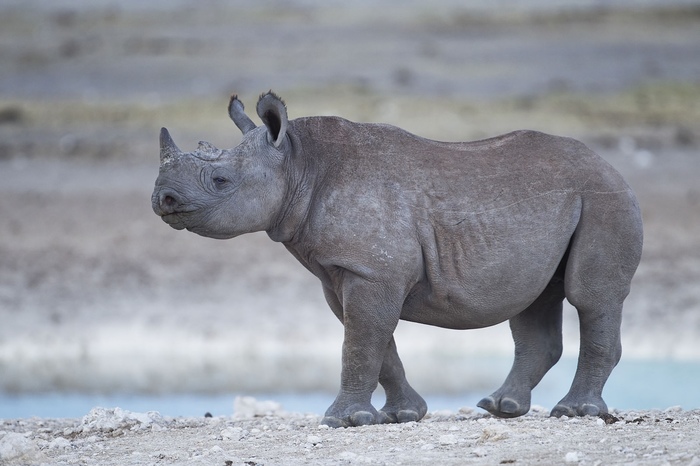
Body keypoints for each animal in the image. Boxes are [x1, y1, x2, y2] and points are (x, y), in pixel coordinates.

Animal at [150, 90, 644, 426]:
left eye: (220, 179)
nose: (162, 198)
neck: (297, 163)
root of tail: (611, 166)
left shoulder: (371, 271)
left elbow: (360, 341)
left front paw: (341, 421)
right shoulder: (348, 273)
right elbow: (373, 341)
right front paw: (402, 415)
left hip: (604, 198)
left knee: (590, 296)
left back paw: (573, 412)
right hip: (570, 202)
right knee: (533, 301)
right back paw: (500, 407)